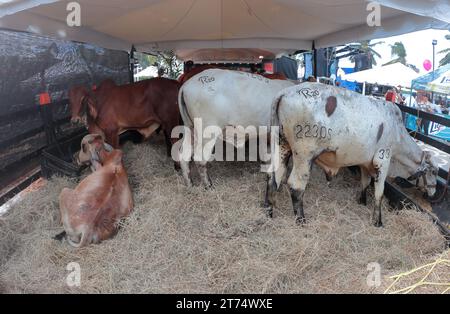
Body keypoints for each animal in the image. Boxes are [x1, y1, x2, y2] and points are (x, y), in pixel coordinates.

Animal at [268, 82, 440, 227]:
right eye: (433, 172)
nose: (433, 194)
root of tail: (284, 93)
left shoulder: (366, 163)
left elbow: (365, 182)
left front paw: (362, 202)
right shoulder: (383, 159)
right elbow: (379, 193)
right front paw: (378, 222)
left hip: (282, 146)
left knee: (274, 178)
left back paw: (269, 212)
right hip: (304, 155)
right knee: (295, 186)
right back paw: (301, 220)